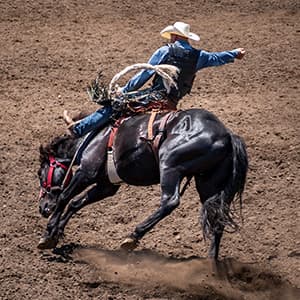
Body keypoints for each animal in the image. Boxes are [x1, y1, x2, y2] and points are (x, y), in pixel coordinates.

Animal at [37, 63, 248, 260]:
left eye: (40, 173)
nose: (42, 208)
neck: (92, 137)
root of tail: (228, 135)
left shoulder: (86, 172)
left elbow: (64, 196)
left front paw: (48, 233)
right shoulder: (107, 185)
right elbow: (76, 203)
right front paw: (56, 233)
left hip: (170, 165)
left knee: (170, 201)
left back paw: (132, 237)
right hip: (209, 183)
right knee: (217, 217)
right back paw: (211, 262)